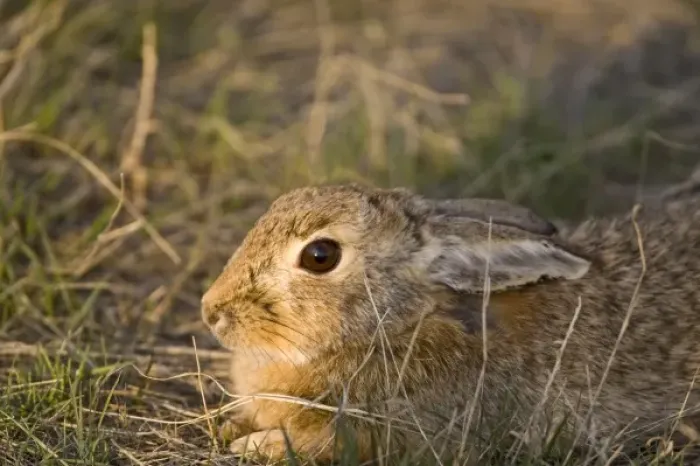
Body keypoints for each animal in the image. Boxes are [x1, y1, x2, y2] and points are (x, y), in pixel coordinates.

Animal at [201, 183, 700, 463]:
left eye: (320, 256)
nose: (211, 310)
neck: (400, 324)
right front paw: (232, 425)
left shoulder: (412, 431)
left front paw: (255, 445)